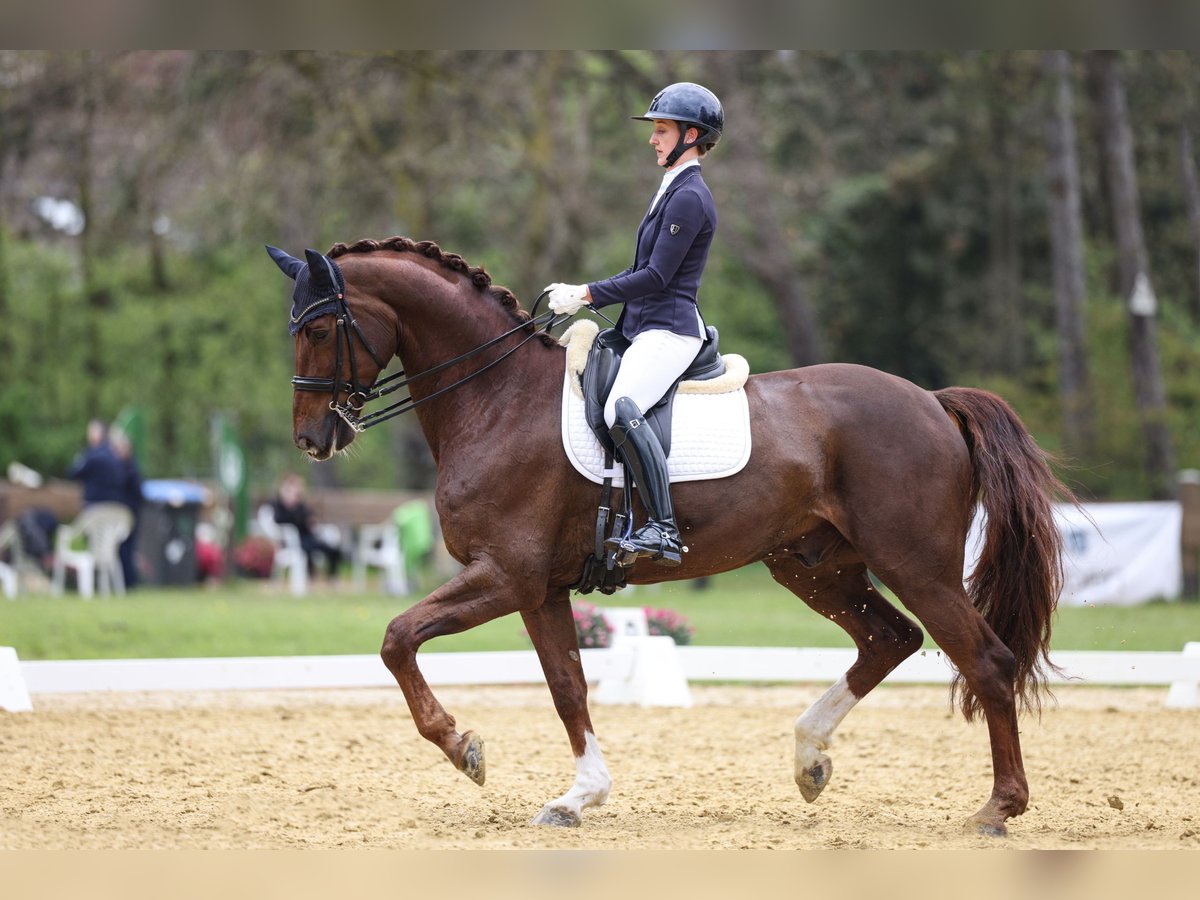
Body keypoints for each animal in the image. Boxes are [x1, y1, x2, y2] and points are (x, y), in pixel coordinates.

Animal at [272, 237, 1070, 840]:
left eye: (319, 329)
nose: (313, 439)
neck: (496, 399)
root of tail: (933, 402)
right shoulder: (540, 587)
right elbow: (566, 685)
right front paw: (579, 796)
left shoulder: (505, 574)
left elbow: (397, 637)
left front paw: (463, 746)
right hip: (814, 566)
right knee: (889, 640)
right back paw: (809, 759)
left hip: (915, 563)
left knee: (987, 661)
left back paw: (997, 809)